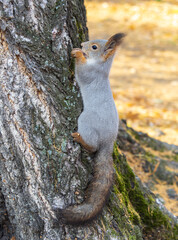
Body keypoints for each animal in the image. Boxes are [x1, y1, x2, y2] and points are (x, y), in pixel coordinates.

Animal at [55, 32, 125, 224]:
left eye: (94, 47)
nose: (82, 44)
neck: (100, 68)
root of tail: (109, 142)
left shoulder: (89, 75)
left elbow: (81, 71)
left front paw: (78, 53)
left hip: (86, 121)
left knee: (93, 147)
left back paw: (80, 139)